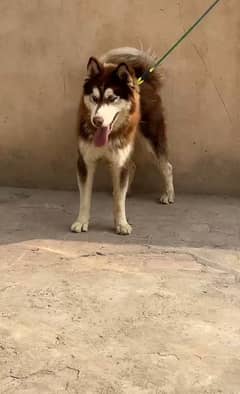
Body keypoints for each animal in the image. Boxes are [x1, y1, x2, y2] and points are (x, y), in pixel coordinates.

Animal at [71, 47, 174, 235]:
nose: (96, 121)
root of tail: (143, 80)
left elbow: (119, 201)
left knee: (166, 166)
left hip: (151, 138)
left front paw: (121, 223)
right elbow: (85, 198)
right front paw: (81, 221)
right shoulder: (85, 161)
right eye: (94, 98)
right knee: (132, 166)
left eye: (112, 98)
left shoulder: (119, 161)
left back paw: (169, 194)